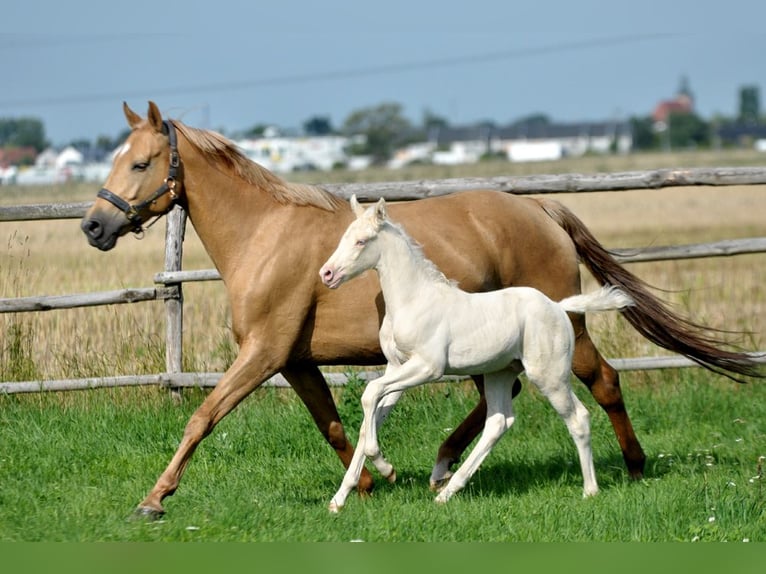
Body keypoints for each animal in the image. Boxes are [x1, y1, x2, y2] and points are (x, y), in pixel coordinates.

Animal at [319, 196, 635, 511]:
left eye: (361, 241)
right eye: (344, 237)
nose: (327, 273)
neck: (414, 300)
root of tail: (558, 307)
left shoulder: (427, 367)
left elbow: (370, 393)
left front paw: (386, 469)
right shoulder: (396, 367)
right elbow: (369, 416)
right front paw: (339, 499)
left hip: (549, 375)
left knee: (578, 418)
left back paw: (590, 490)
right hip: (500, 372)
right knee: (498, 422)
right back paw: (448, 491)